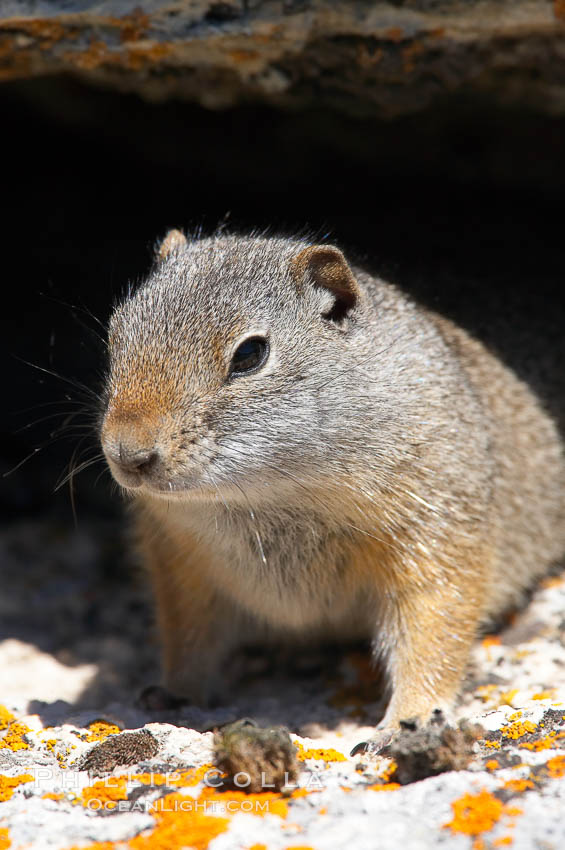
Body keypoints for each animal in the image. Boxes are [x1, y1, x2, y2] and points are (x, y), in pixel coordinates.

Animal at [100, 229, 564, 752]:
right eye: (116, 334)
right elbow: (189, 637)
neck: (271, 496)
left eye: (250, 354)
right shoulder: (178, 564)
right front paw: (175, 692)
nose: (128, 454)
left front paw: (408, 720)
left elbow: (433, 634)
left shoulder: (440, 536)